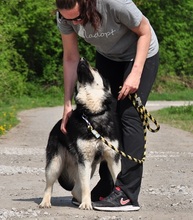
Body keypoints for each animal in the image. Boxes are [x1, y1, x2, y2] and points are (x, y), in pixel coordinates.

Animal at [38, 57, 120, 210]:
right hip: (55, 165)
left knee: (75, 188)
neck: (93, 114)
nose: (82, 58)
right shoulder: (85, 160)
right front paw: (86, 204)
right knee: (49, 186)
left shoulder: (113, 158)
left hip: (90, 166)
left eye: (95, 68)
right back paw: (45, 202)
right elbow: (86, 185)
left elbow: (117, 178)